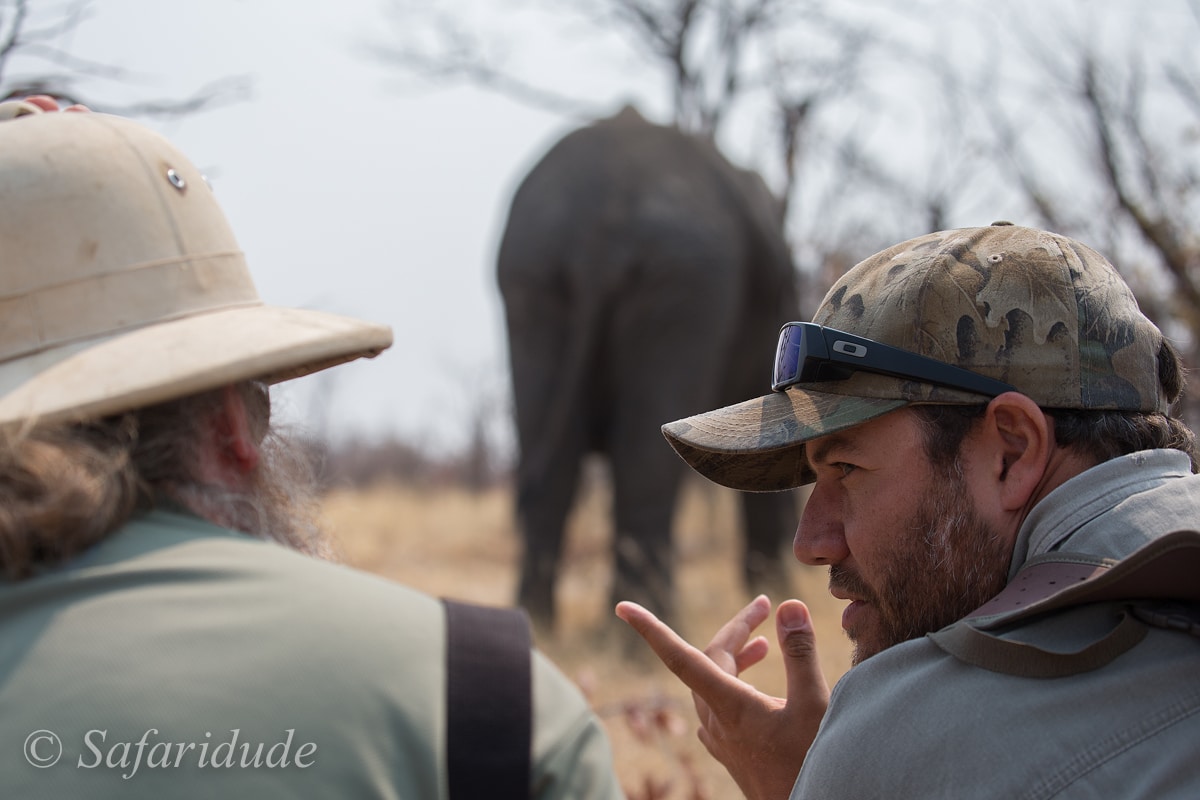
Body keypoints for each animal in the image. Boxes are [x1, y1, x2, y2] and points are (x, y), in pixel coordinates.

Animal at [492, 104, 801, 633]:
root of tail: (597, 227)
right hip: (685, 282)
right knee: (645, 459)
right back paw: (644, 633)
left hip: (533, 277)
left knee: (551, 462)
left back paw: (541, 627)